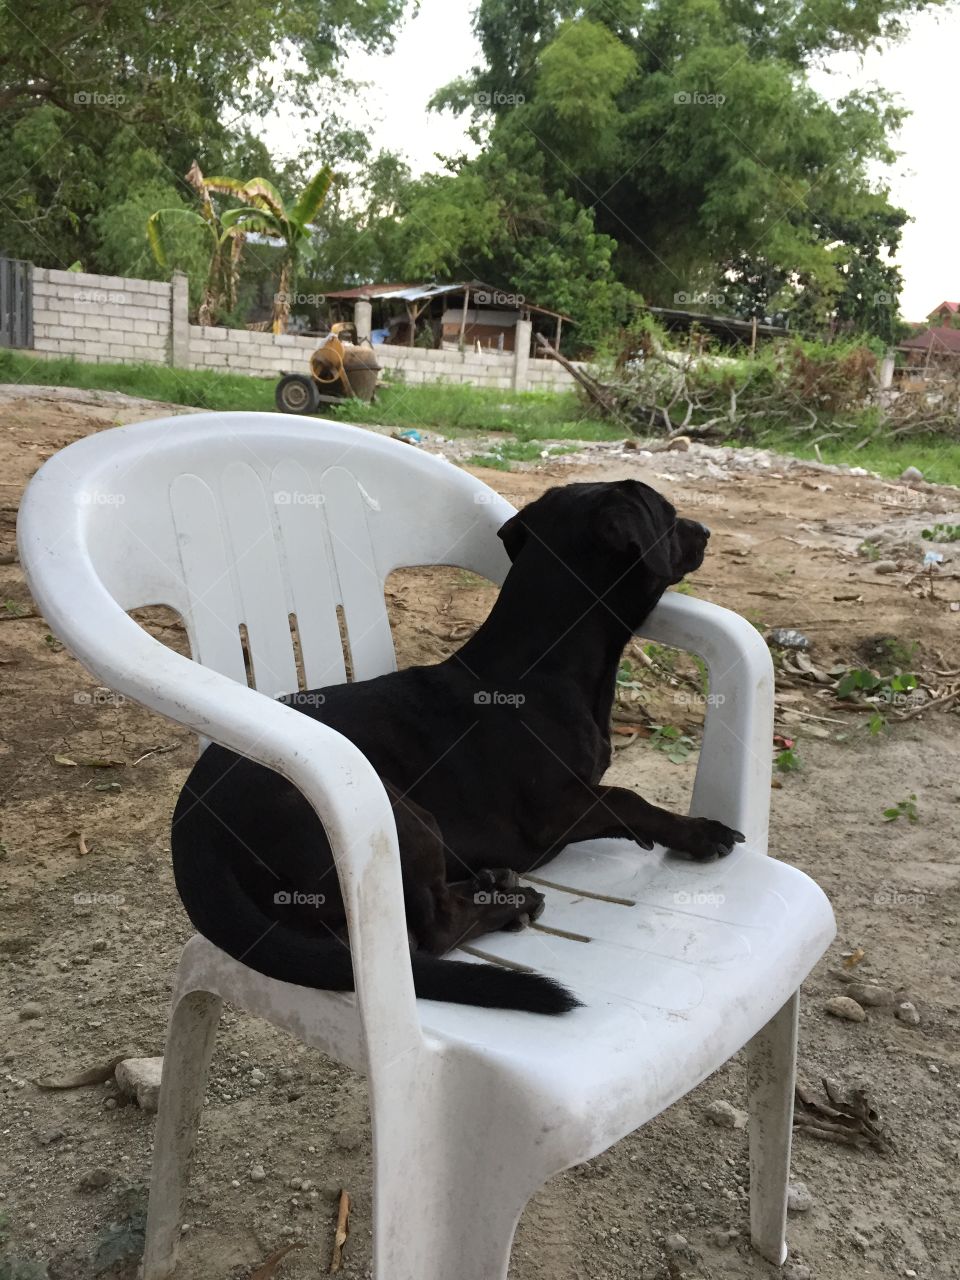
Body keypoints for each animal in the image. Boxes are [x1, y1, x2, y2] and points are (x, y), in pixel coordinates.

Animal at [171, 481, 742, 1008]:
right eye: (667, 512)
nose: (705, 531)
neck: (543, 666)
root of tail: (193, 837)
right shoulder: (553, 813)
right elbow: (628, 799)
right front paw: (699, 832)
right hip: (407, 820)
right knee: (435, 929)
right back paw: (510, 904)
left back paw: (492, 883)